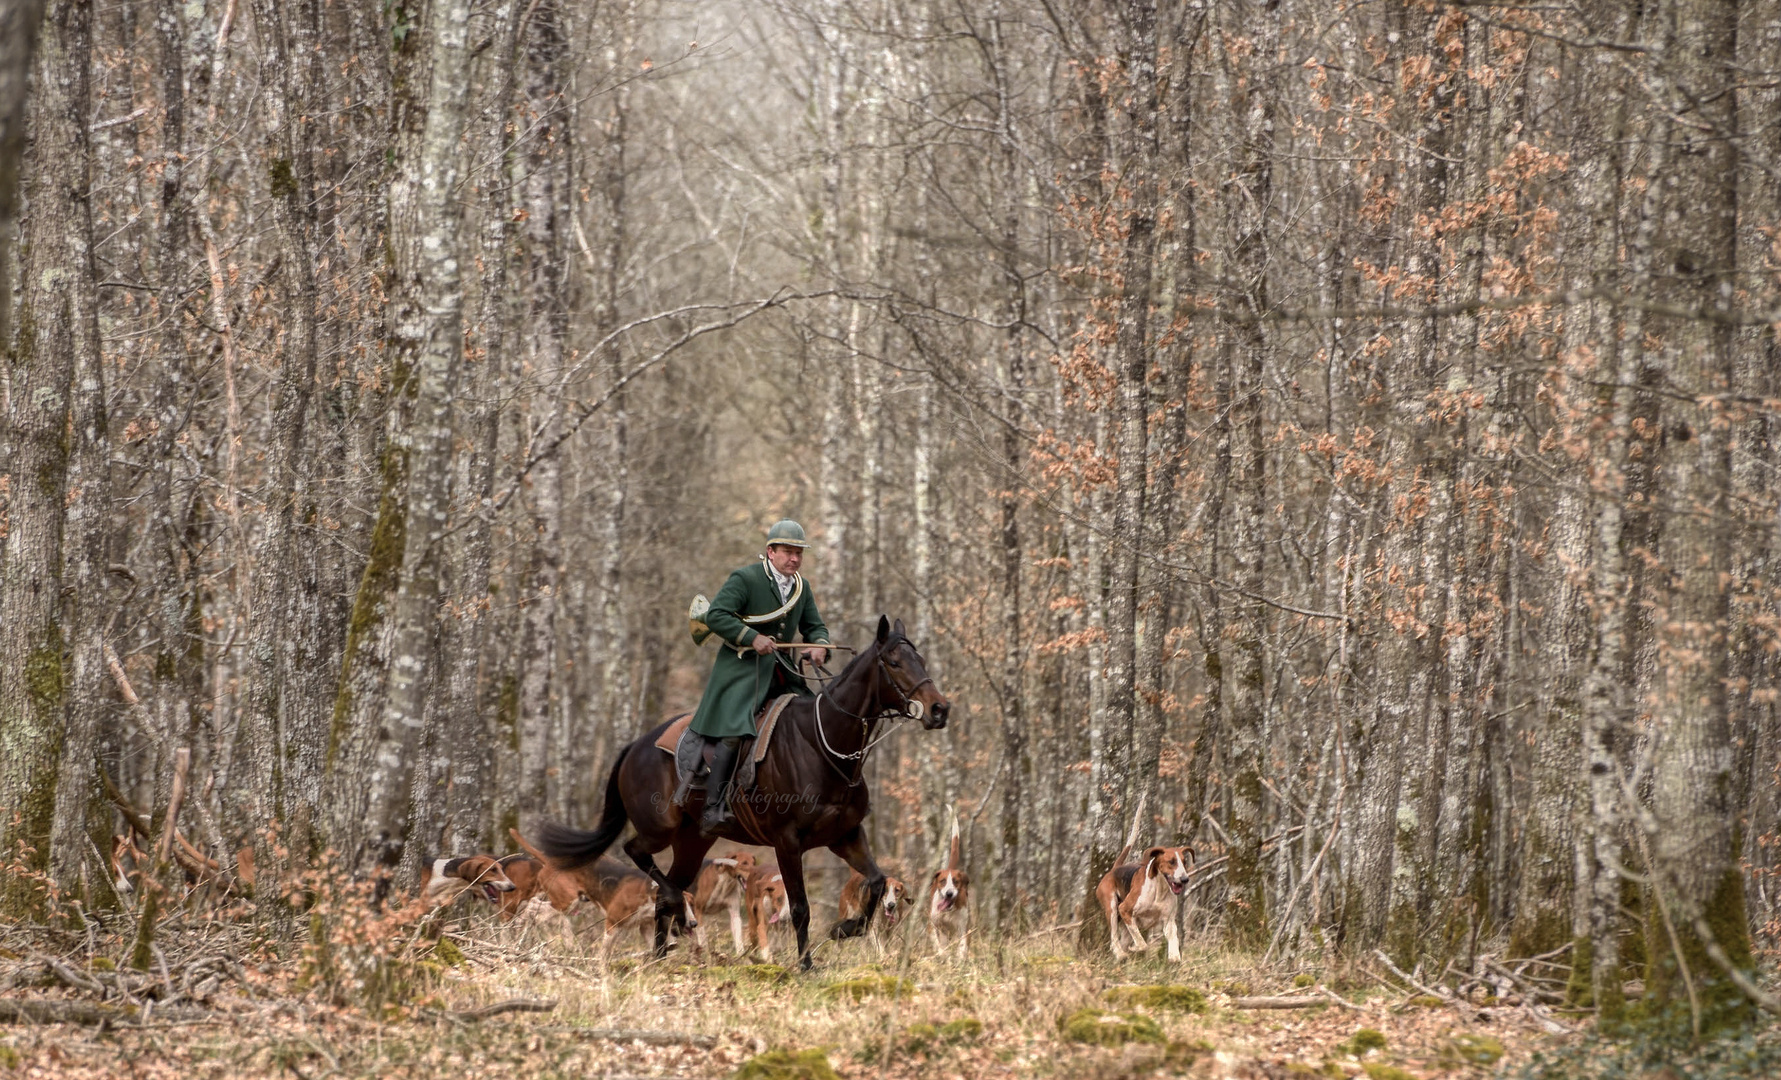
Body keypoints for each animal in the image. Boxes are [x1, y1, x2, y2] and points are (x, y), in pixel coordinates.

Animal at [534, 616, 954, 976]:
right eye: (895, 662)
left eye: (920, 659)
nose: (940, 709)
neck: (823, 745)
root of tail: (636, 746)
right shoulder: (787, 842)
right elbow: (800, 906)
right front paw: (806, 965)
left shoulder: (846, 836)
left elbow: (878, 882)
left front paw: (845, 929)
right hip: (659, 828)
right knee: (638, 854)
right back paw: (676, 919)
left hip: (693, 841)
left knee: (665, 892)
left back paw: (660, 953)